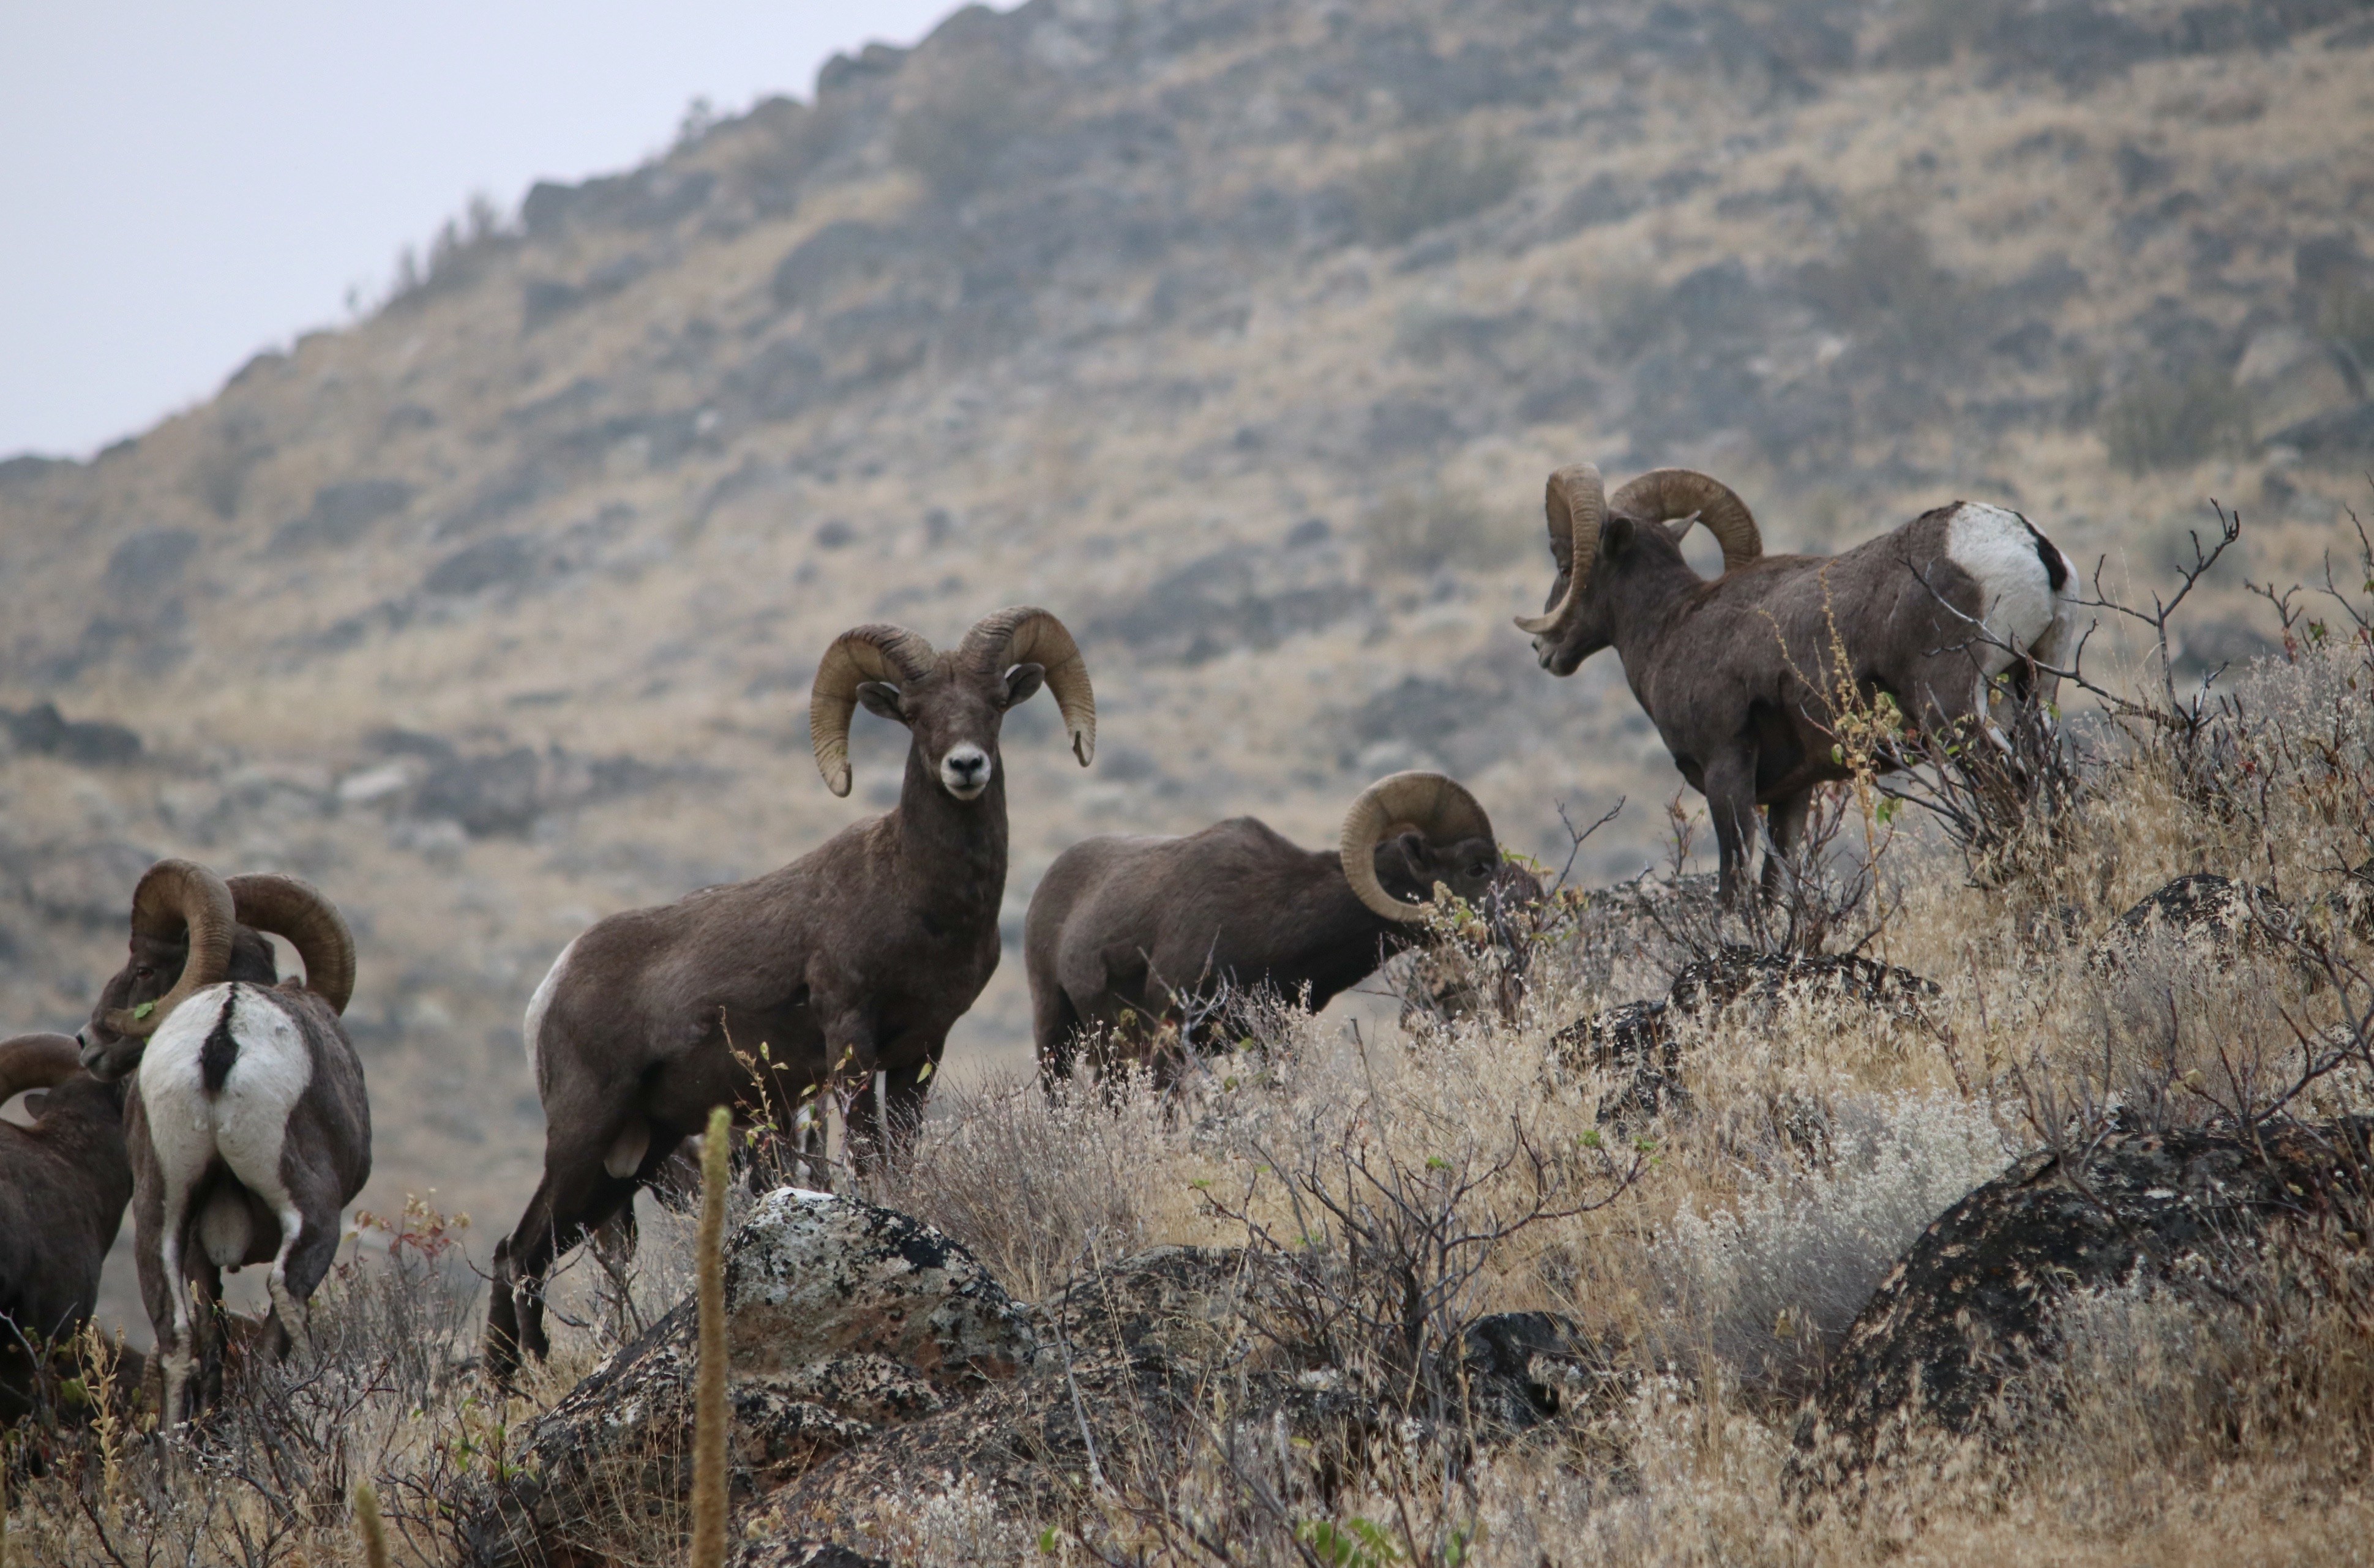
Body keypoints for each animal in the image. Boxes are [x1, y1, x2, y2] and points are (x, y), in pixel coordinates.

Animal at [77, 854, 370, 1423]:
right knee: (286, 1302)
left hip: (161, 1210)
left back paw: (178, 1450)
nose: (87, 1042)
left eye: (144, 969)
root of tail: (223, 1029)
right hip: (310, 1208)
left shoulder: (197, 1249)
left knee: (177, 1338)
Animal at [493, 607, 1101, 1366]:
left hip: (628, 1158)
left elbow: (900, 1153)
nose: (966, 766)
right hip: (583, 1134)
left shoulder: (920, 1049)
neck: (914, 893)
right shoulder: (849, 1038)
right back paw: (528, 1369)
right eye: (915, 714)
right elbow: (866, 1154)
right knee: (518, 1253)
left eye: (993, 706)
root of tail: (550, 989)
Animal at [1025, 768, 1519, 1081]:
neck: (1272, 923)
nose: (1518, 919)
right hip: (1056, 1039)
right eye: (1477, 866)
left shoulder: (1273, 1043)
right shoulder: (1168, 1043)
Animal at [1519, 465, 2080, 897]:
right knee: (2049, 776)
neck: (1671, 627)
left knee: (2013, 789)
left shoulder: (1727, 773)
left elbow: (1736, 892)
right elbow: (1777, 889)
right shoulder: (1793, 794)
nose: (1543, 651)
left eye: (1567, 567)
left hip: (1954, 713)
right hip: (2034, 687)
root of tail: (2026, 542)